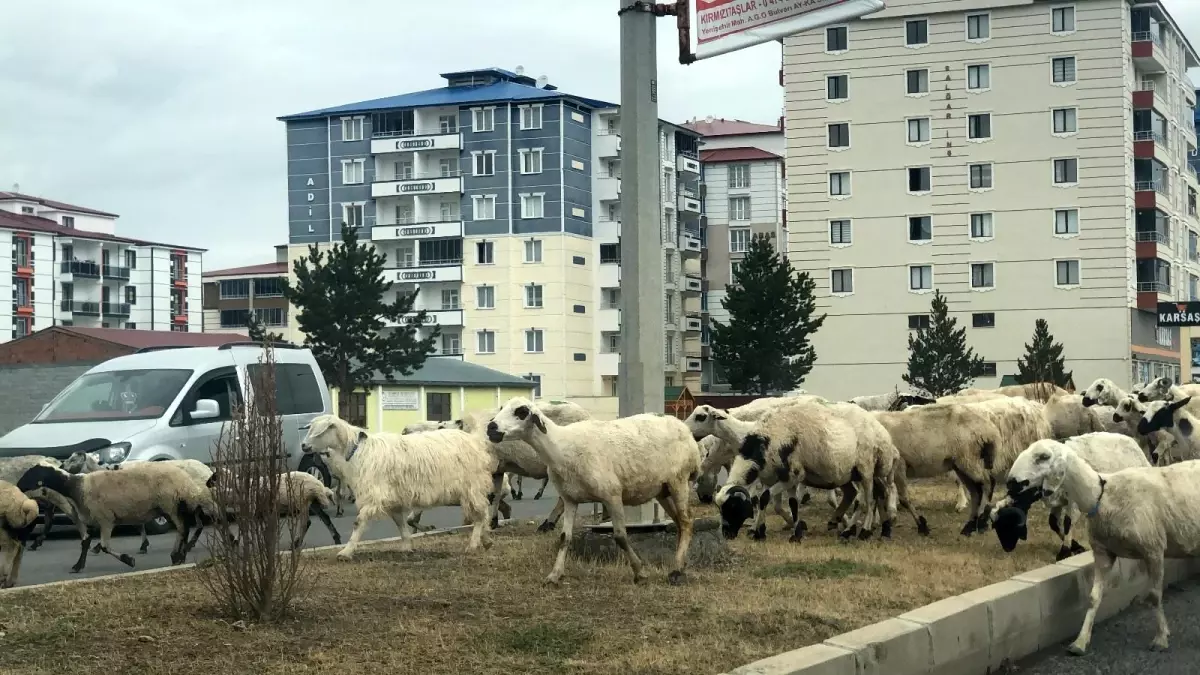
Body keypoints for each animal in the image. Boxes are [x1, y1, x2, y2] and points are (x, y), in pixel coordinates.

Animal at [15, 458, 213, 569]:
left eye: (32, 473)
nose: (17, 486)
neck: (77, 487)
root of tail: (186, 482)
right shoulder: (94, 519)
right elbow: (86, 541)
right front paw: (78, 565)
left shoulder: (106, 519)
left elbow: (104, 546)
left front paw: (128, 560)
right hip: (172, 506)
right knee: (184, 529)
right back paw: (179, 555)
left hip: (170, 504)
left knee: (183, 529)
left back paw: (178, 556)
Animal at [302, 415, 494, 557]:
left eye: (318, 431)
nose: (303, 445)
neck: (359, 451)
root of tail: (475, 440)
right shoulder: (392, 499)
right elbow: (401, 524)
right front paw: (407, 546)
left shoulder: (374, 495)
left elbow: (358, 522)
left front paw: (345, 552)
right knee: (483, 513)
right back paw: (486, 541)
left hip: (472, 487)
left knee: (480, 515)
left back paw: (474, 544)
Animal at [482, 393, 700, 583]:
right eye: (502, 407)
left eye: (521, 411)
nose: (491, 427)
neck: (561, 447)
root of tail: (683, 428)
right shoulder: (570, 499)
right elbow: (564, 538)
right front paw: (554, 575)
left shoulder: (612, 495)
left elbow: (620, 536)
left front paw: (640, 572)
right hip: (662, 489)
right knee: (680, 523)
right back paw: (680, 564)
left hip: (679, 480)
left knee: (687, 521)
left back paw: (676, 570)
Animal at [988, 432, 1147, 559]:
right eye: (997, 527)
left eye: (1009, 525)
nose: (1007, 548)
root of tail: (1131, 440)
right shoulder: (1056, 500)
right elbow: (1054, 523)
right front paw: (1076, 546)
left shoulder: (1073, 501)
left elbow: (1067, 522)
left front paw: (1064, 552)